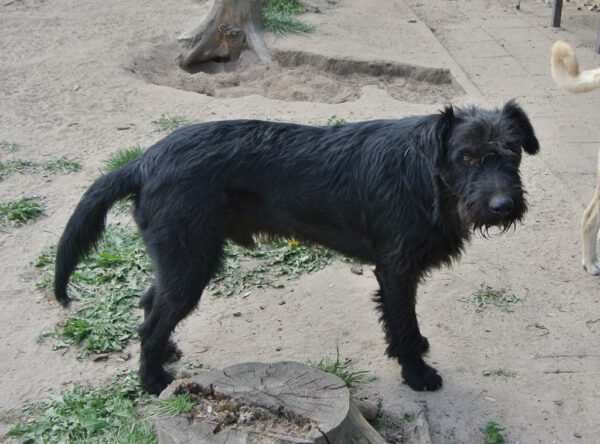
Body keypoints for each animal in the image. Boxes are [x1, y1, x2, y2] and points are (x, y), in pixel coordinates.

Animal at [52, 99, 540, 392]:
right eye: (466, 157)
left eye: (512, 151)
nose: (502, 206)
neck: (427, 176)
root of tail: (144, 161)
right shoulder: (396, 270)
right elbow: (400, 323)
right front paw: (415, 372)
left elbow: (407, 323)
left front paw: (418, 348)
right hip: (190, 263)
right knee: (152, 323)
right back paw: (154, 381)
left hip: (181, 260)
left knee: (150, 300)